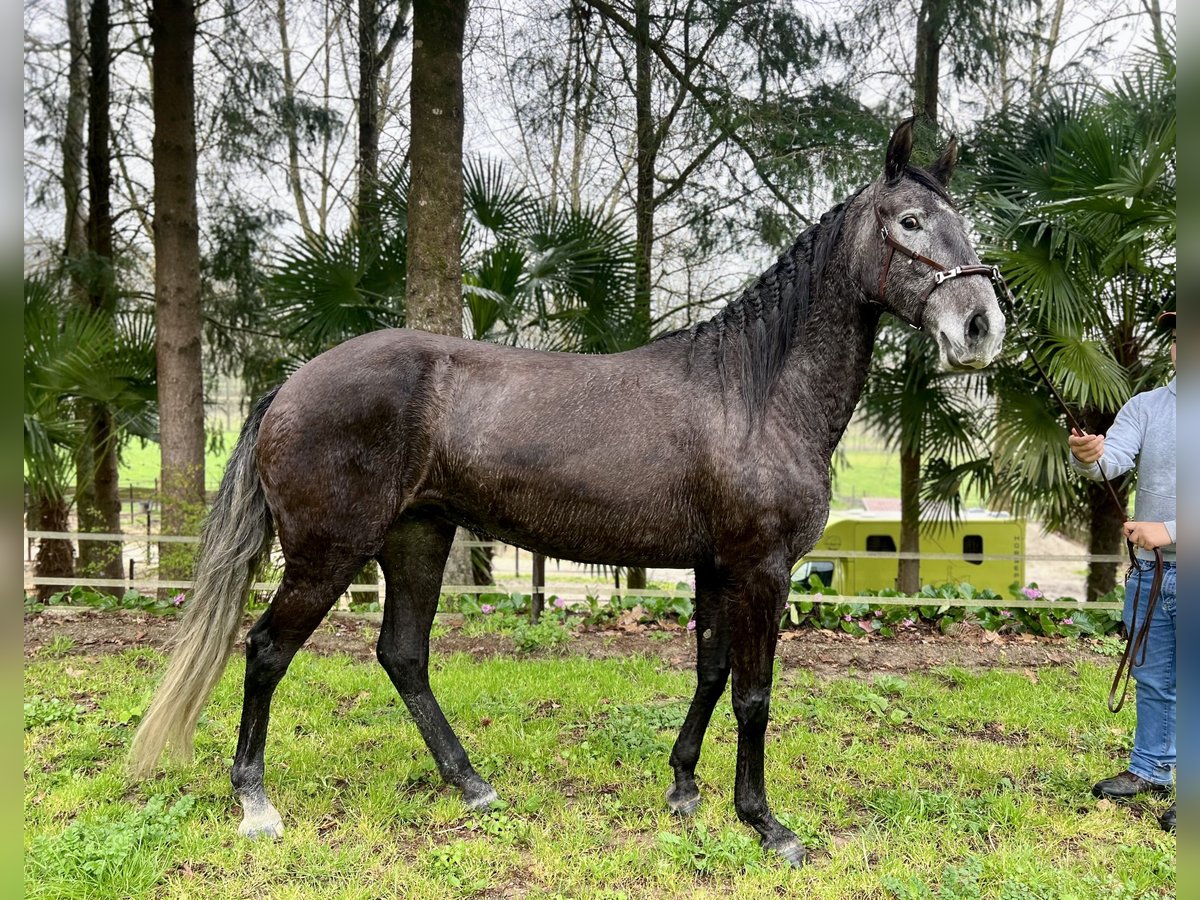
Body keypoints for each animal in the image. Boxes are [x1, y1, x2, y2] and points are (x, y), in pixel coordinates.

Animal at [129, 120, 1003, 868]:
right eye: (910, 222)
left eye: (961, 221)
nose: (981, 327)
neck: (754, 392)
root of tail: (291, 383)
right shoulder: (761, 568)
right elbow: (754, 694)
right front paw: (766, 824)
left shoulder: (718, 567)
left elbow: (710, 674)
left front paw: (685, 788)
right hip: (328, 554)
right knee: (267, 651)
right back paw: (257, 804)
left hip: (418, 538)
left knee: (403, 655)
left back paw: (473, 784)